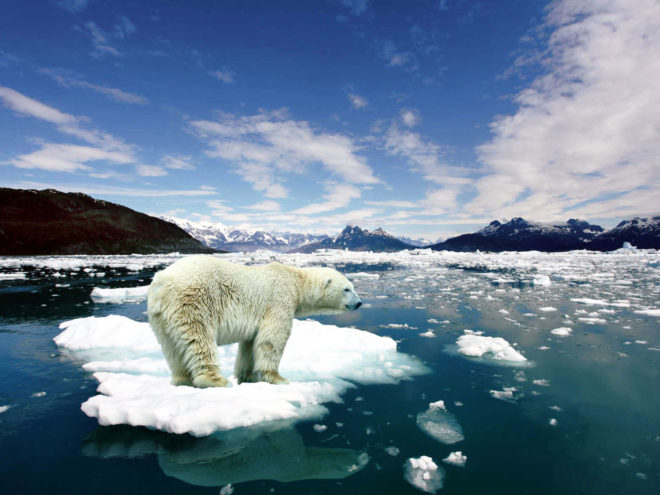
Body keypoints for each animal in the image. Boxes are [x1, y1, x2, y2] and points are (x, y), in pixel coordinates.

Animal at [147, 255, 362, 388]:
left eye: (352, 287)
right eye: (347, 289)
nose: (359, 303)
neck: (296, 281)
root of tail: (162, 283)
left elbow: (250, 344)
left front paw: (247, 377)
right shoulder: (279, 300)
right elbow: (272, 339)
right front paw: (278, 378)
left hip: (161, 317)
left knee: (172, 348)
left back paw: (181, 380)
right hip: (194, 301)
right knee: (199, 339)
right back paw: (216, 380)